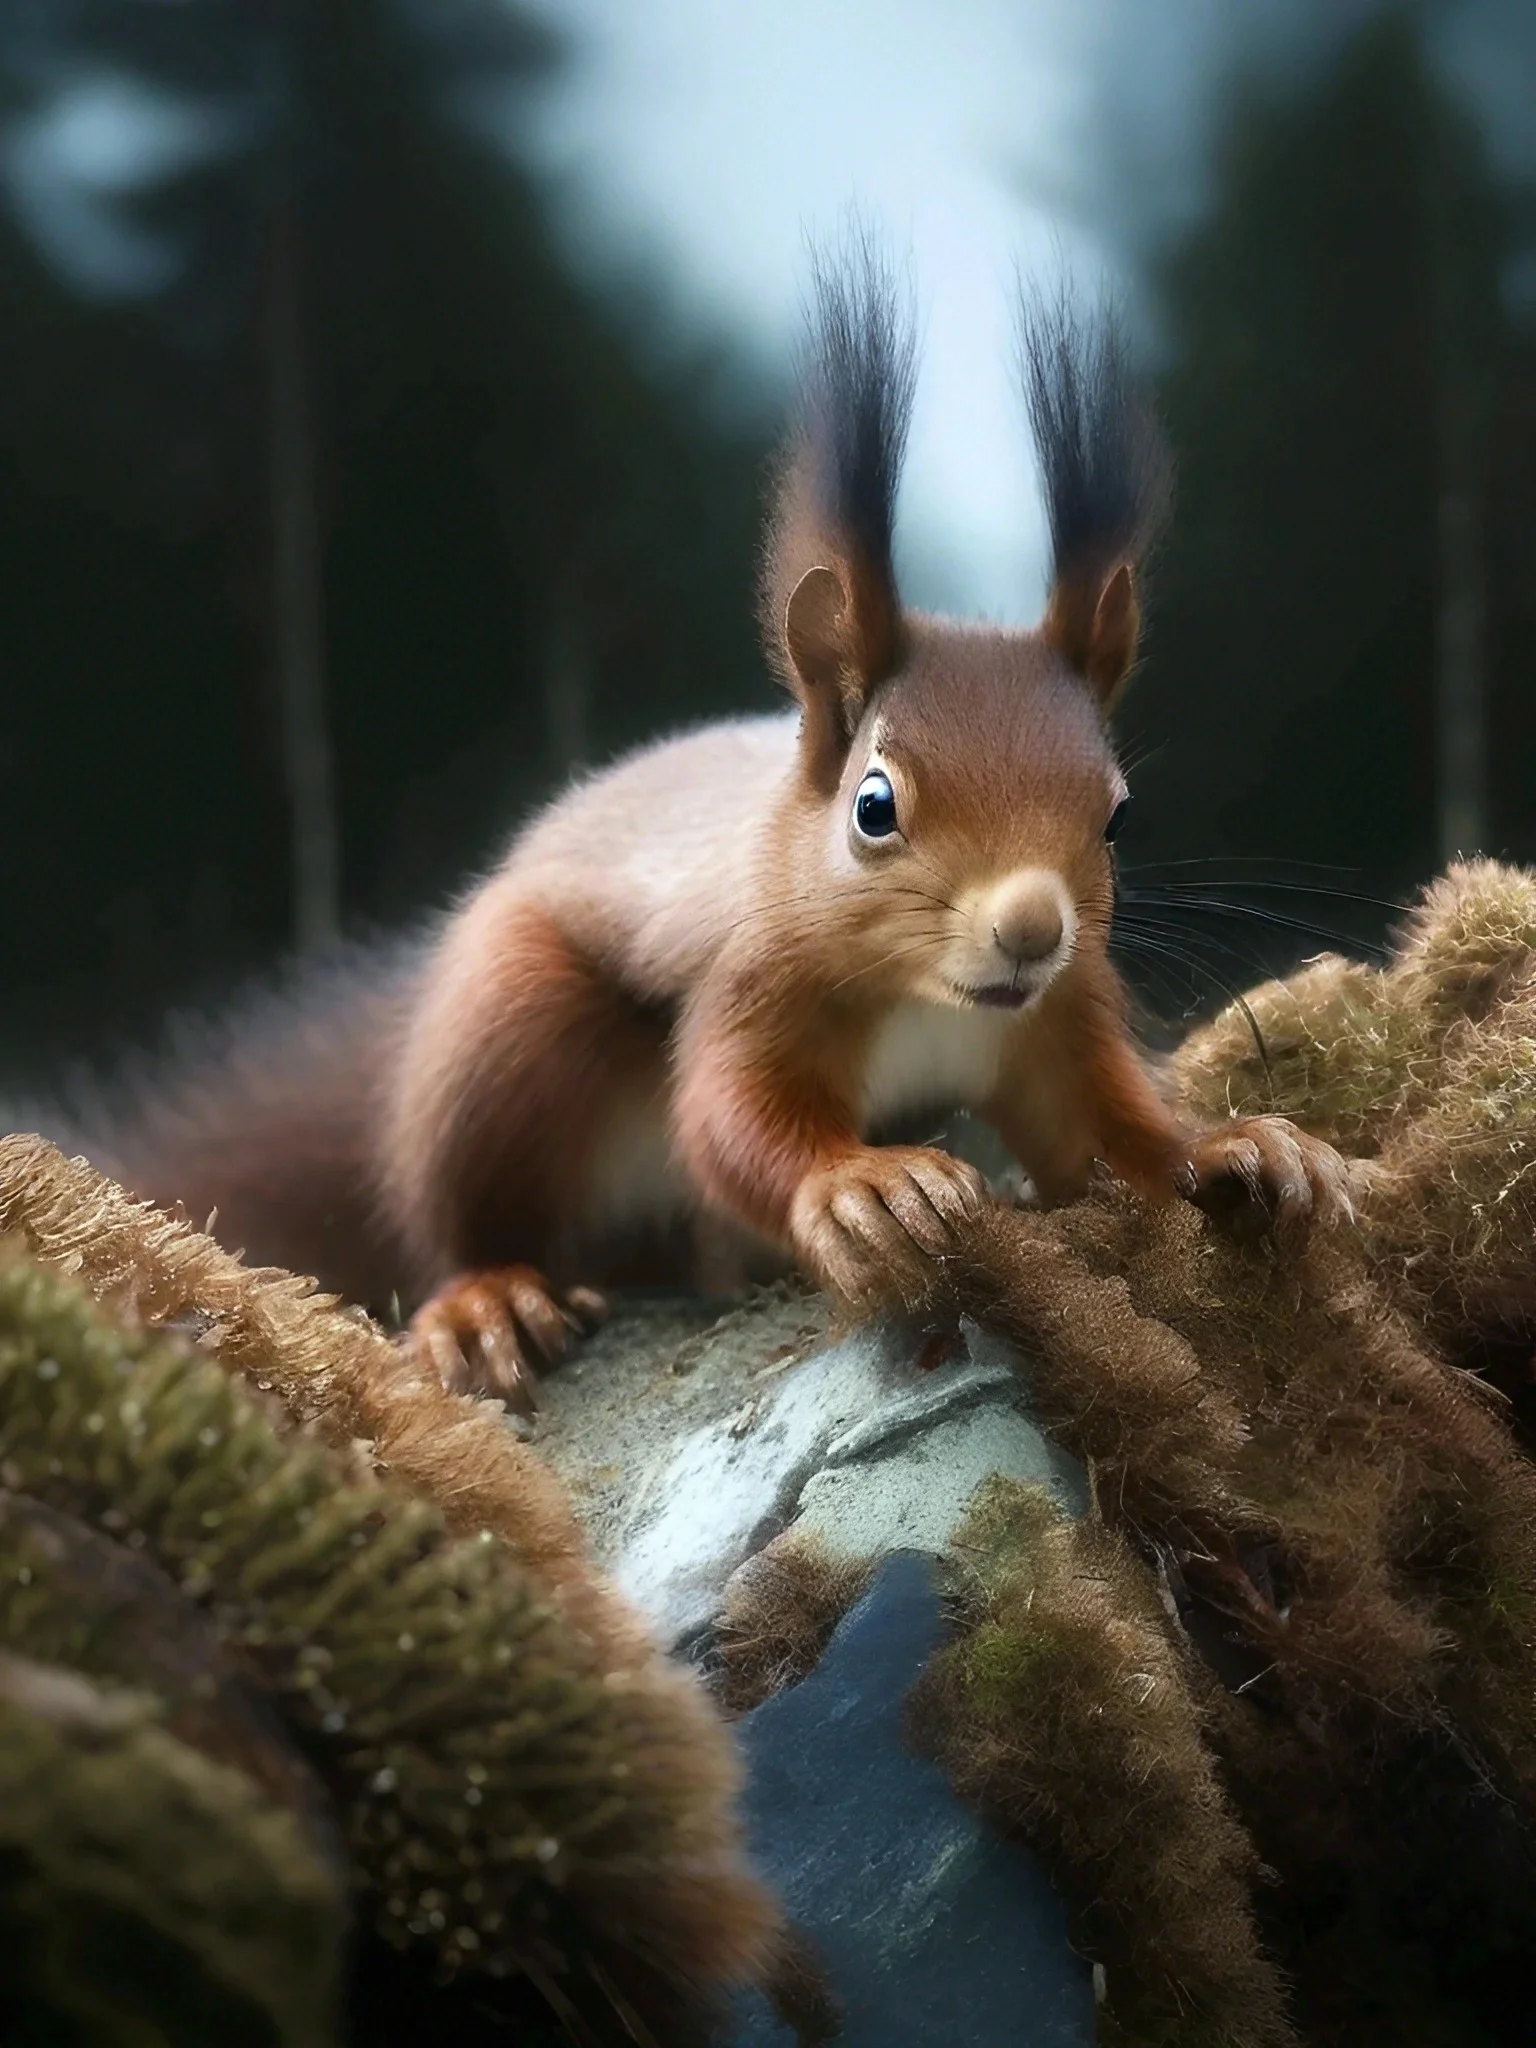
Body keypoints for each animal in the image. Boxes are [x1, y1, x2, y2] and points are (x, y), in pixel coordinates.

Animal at [71, 241, 1350, 1406]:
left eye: (1118, 816)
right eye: (874, 806)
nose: (1033, 928)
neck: (929, 999)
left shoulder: (1053, 1023)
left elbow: (1103, 1127)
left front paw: (1239, 1145)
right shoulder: (749, 982)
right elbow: (730, 1120)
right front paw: (858, 1187)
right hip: (506, 1035)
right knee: (465, 1213)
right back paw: (487, 1299)